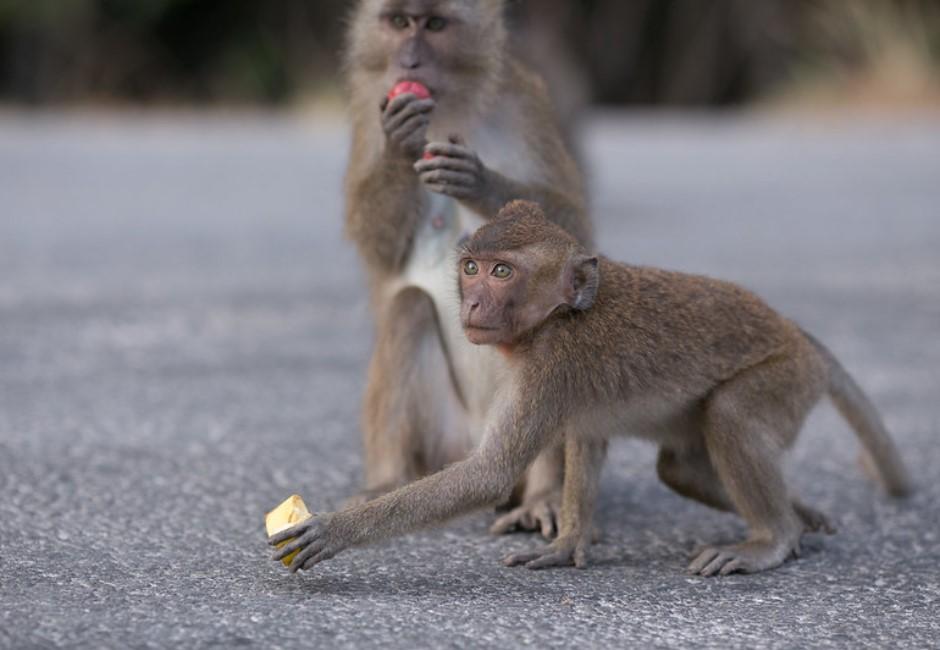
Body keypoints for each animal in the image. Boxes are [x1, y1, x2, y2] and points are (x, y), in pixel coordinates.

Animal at [270, 200, 912, 576]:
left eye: (502, 272)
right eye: (471, 267)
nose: (472, 304)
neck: (556, 318)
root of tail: (797, 335)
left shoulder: (553, 364)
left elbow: (490, 475)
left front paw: (337, 529)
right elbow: (586, 435)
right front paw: (565, 542)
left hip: (784, 377)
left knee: (730, 413)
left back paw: (773, 538)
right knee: (680, 467)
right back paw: (799, 519)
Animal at [340, 0, 588, 532]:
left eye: (434, 25)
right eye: (399, 23)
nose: (409, 63)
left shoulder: (525, 103)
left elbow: (575, 223)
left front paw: (479, 182)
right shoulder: (367, 116)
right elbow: (377, 247)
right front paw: (399, 144)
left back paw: (543, 494)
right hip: (442, 443)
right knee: (409, 306)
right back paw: (388, 482)